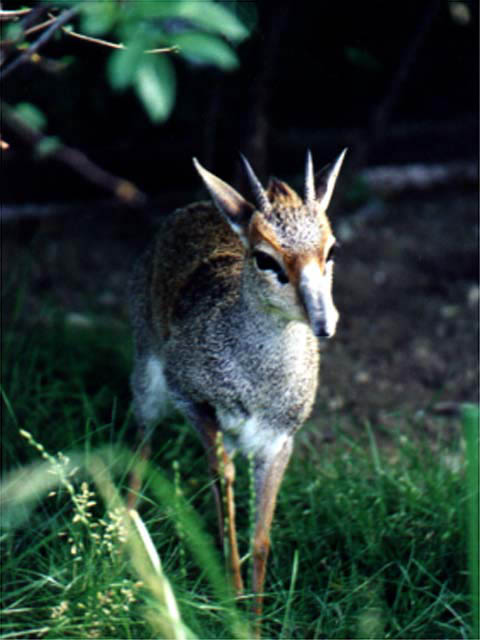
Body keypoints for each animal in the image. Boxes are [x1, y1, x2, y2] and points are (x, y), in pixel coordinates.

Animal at [128, 148, 346, 630]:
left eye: (331, 249)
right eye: (266, 259)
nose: (325, 321)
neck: (258, 381)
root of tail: (195, 206)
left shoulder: (279, 442)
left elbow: (259, 538)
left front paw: (256, 620)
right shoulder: (192, 402)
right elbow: (224, 493)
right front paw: (233, 604)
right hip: (148, 381)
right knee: (141, 447)